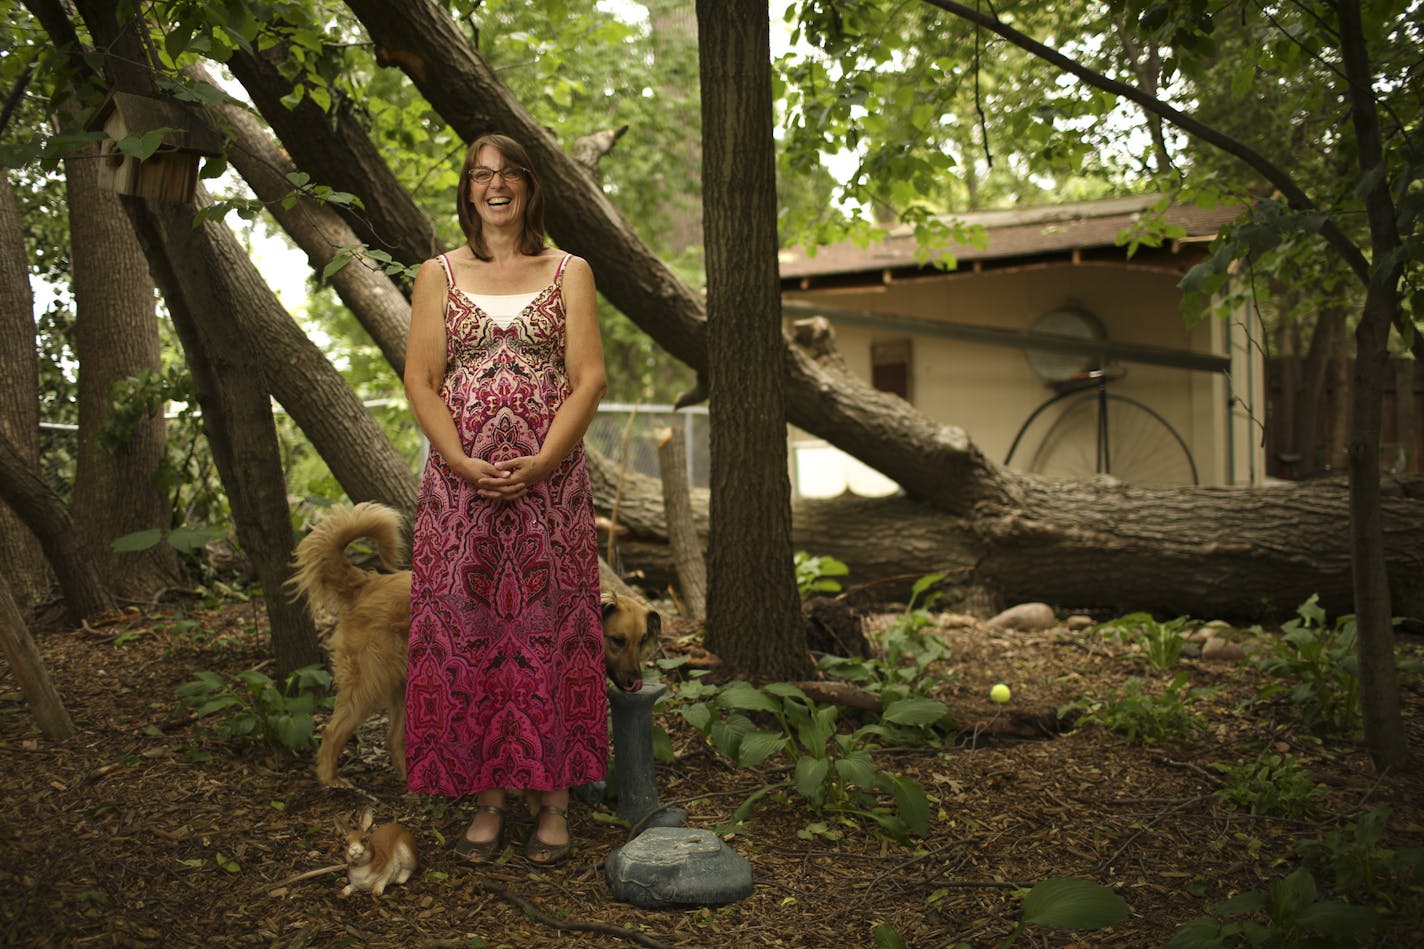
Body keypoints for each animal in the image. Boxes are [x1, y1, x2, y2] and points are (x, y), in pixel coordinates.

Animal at [294, 498, 660, 786]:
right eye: (617, 640)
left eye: (642, 640)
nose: (635, 682)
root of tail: (368, 583)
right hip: (372, 680)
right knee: (334, 730)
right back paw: (331, 778)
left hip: (406, 682)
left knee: (393, 736)